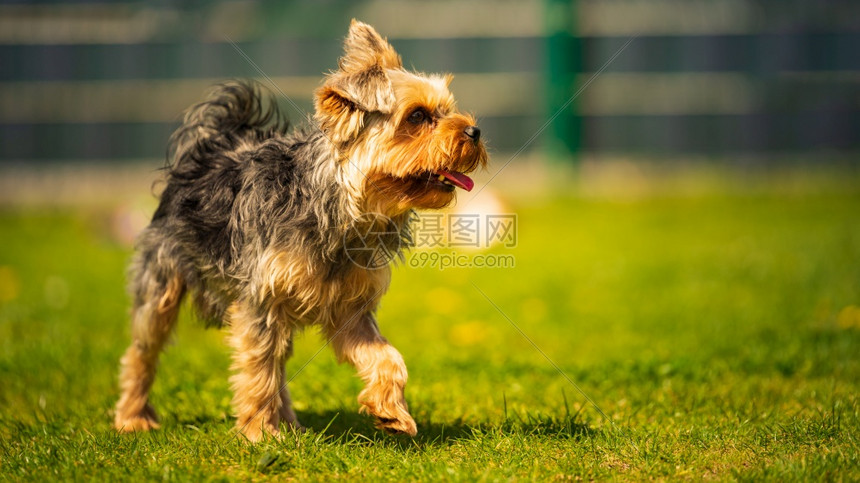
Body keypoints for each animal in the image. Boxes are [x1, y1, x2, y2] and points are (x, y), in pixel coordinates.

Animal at [114, 19, 488, 442]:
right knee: (143, 349)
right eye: (417, 116)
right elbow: (257, 369)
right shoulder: (260, 299)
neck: (339, 207)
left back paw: (290, 420)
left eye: (448, 110)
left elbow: (386, 356)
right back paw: (132, 417)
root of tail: (206, 150)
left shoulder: (350, 310)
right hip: (162, 278)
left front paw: (391, 411)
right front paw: (260, 433)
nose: (474, 131)